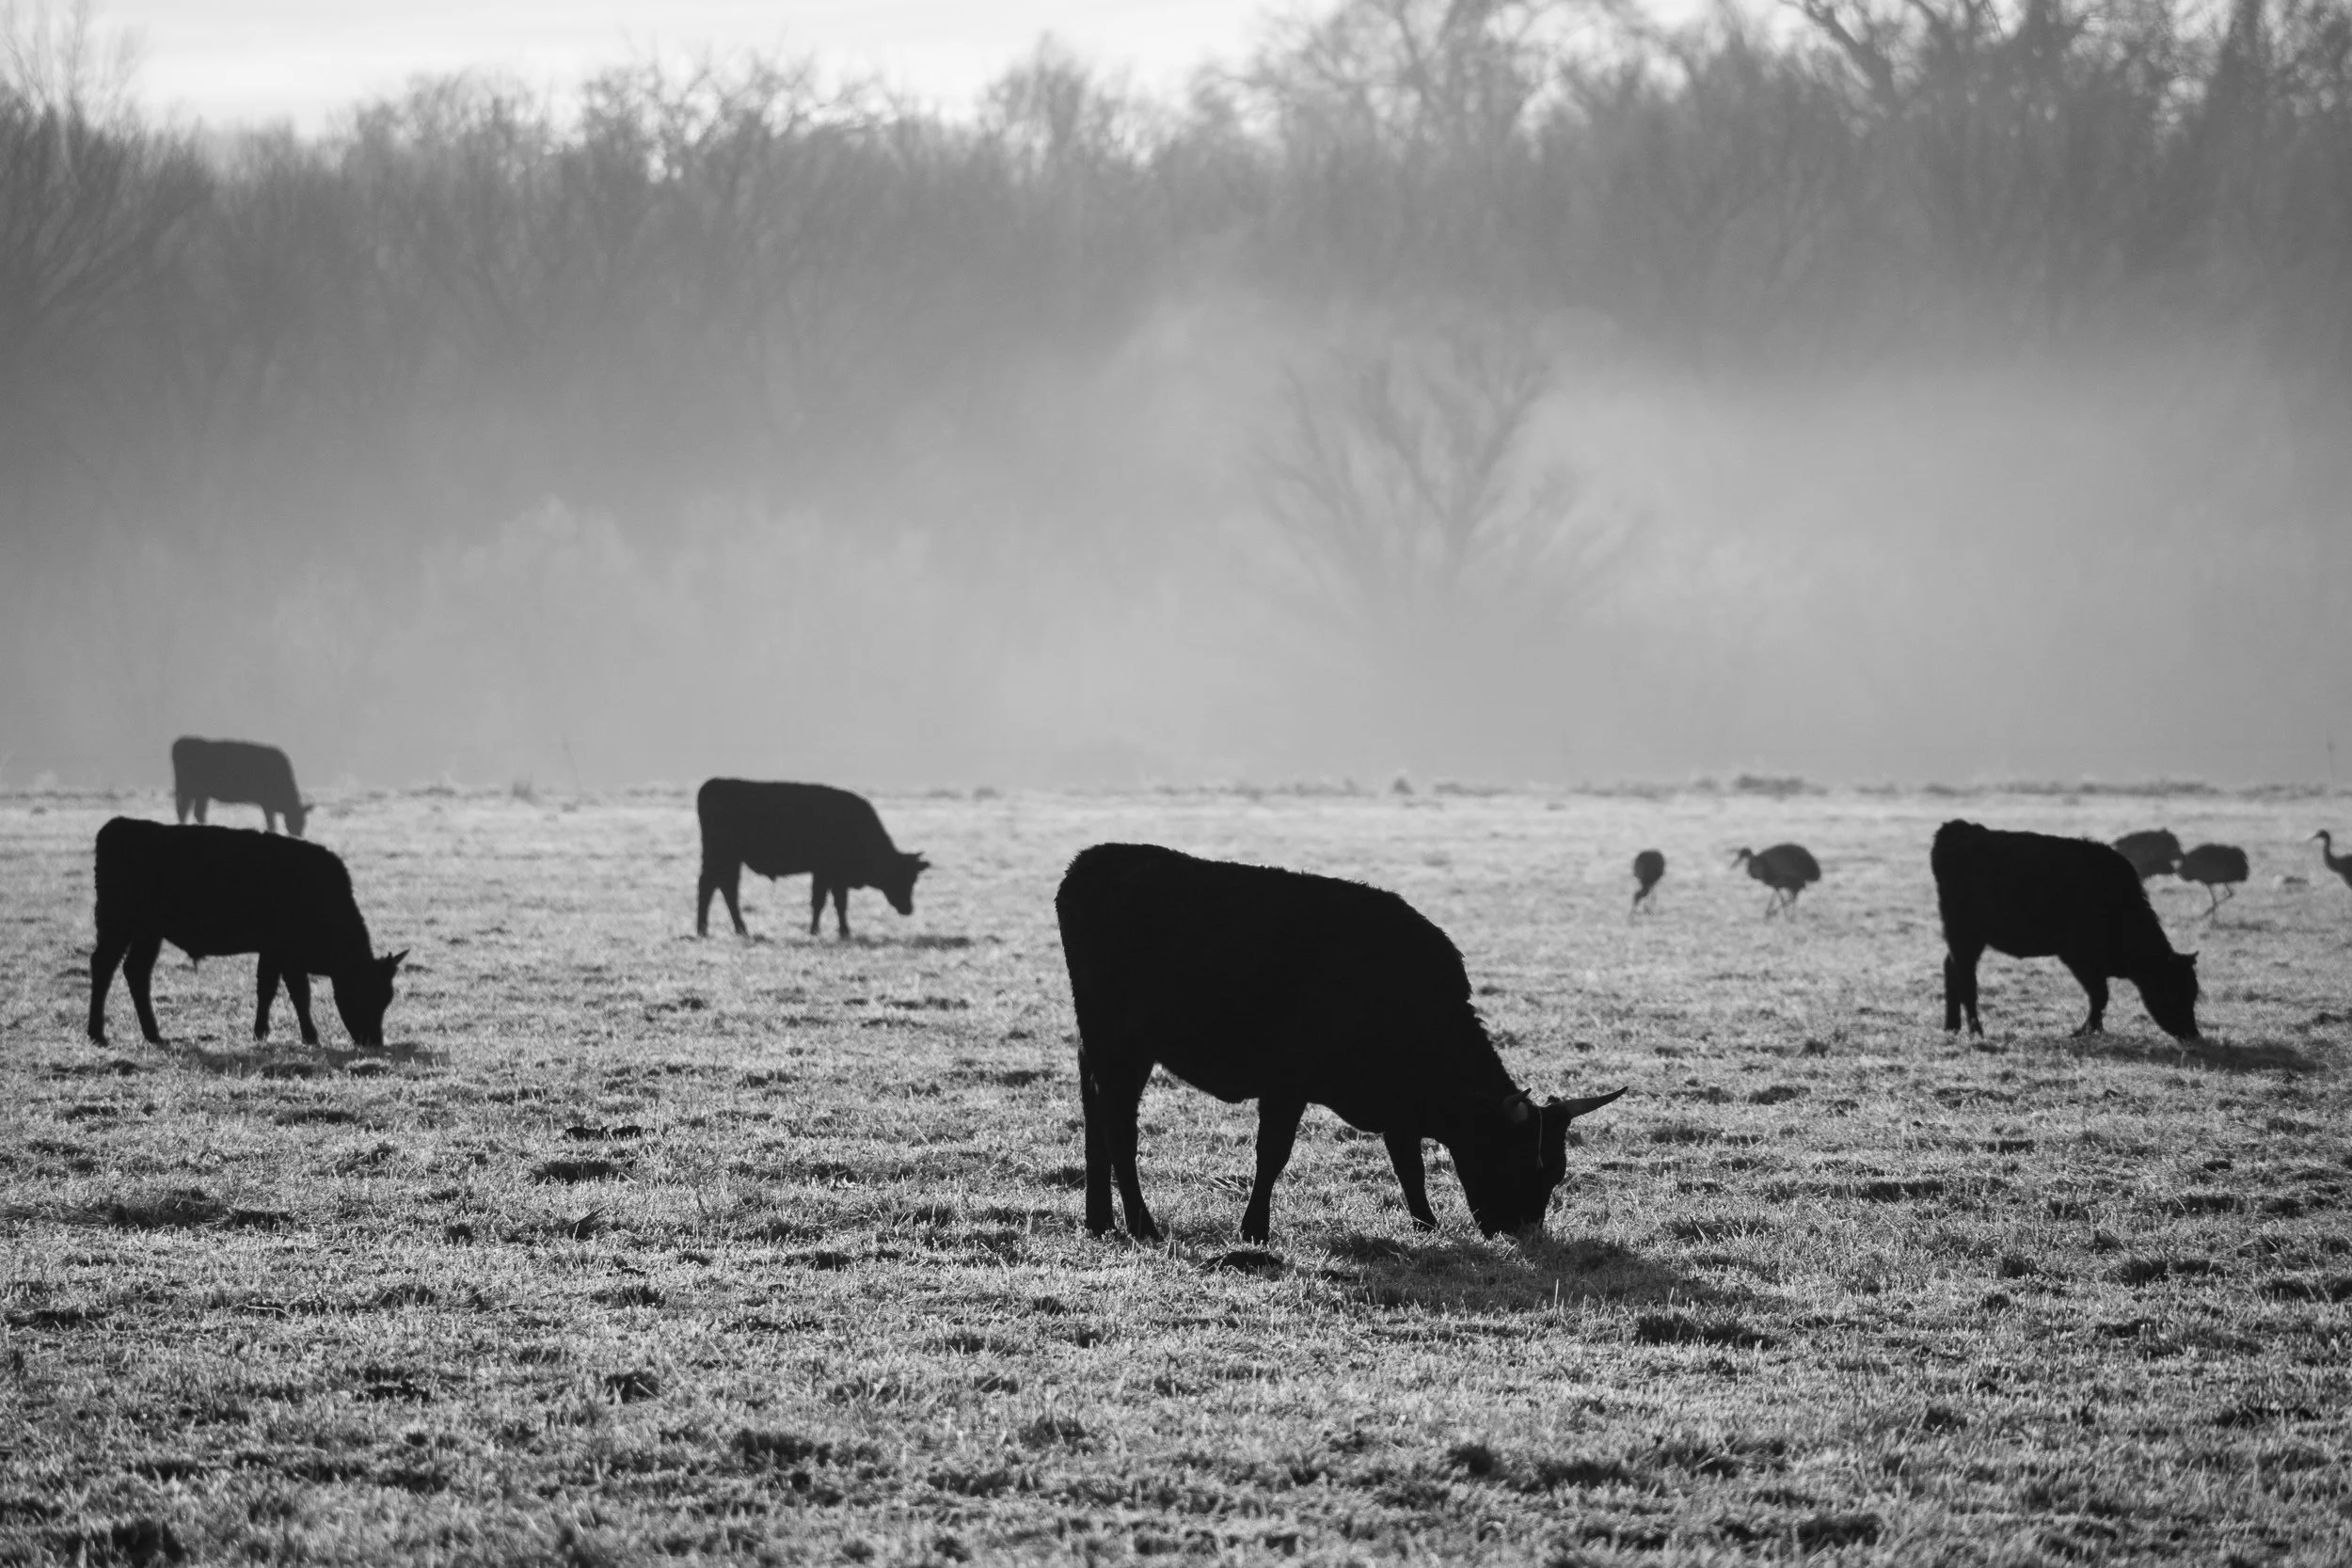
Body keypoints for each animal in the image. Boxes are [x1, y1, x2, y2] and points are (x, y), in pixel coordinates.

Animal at [88, 817, 406, 1047]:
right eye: (365, 991)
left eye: (387, 997)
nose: (374, 1041)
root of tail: (119, 825)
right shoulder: (285, 953)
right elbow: (298, 992)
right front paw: (309, 1036)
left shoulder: (272, 952)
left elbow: (267, 989)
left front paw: (261, 1032)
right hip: (117, 925)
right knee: (103, 966)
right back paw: (97, 1034)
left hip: (147, 933)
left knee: (136, 971)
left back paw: (153, 1034)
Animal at [172, 737, 308, 837]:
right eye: (296, 819)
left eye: (304, 822)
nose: (298, 835)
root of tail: (182, 741)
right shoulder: (266, 803)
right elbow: (271, 823)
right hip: (189, 790)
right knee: (185, 810)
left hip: (200, 793)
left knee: (195, 812)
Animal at [695, 779, 928, 940]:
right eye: (901, 877)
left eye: (914, 879)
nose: (908, 909)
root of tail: (713, 783)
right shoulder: (830, 874)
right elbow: (830, 902)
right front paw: (834, 932)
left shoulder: (828, 875)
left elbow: (828, 903)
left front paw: (826, 931)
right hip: (721, 857)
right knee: (711, 886)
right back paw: (706, 930)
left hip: (729, 861)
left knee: (725, 888)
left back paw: (735, 929)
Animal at [1054, 842, 1625, 1244]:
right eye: (1523, 1162)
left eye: (1557, 1174)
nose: (1524, 1233)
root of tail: (1090, 862)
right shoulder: (1286, 1085)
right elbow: (1272, 1154)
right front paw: (1254, 1229)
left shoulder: (1398, 1108)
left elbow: (1409, 1166)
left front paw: (1426, 1224)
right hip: (1122, 1046)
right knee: (1118, 1129)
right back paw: (1141, 1225)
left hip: (1095, 1046)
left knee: (1094, 1121)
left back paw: (1099, 1221)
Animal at [1931, 819, 2199, 1041]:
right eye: (2173, 990)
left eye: (2193, 992)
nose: (2192, 1034)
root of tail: (1958, 829)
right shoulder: (2078, 958)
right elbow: (2100, 995)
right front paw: (2084, 1030)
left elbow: (2100, 997)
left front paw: (2095, 1029)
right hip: (1964, 936)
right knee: (1967, 979)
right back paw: (1976, 1030)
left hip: (1965, 939)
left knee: (1951, 969)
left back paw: (1952, 1027)